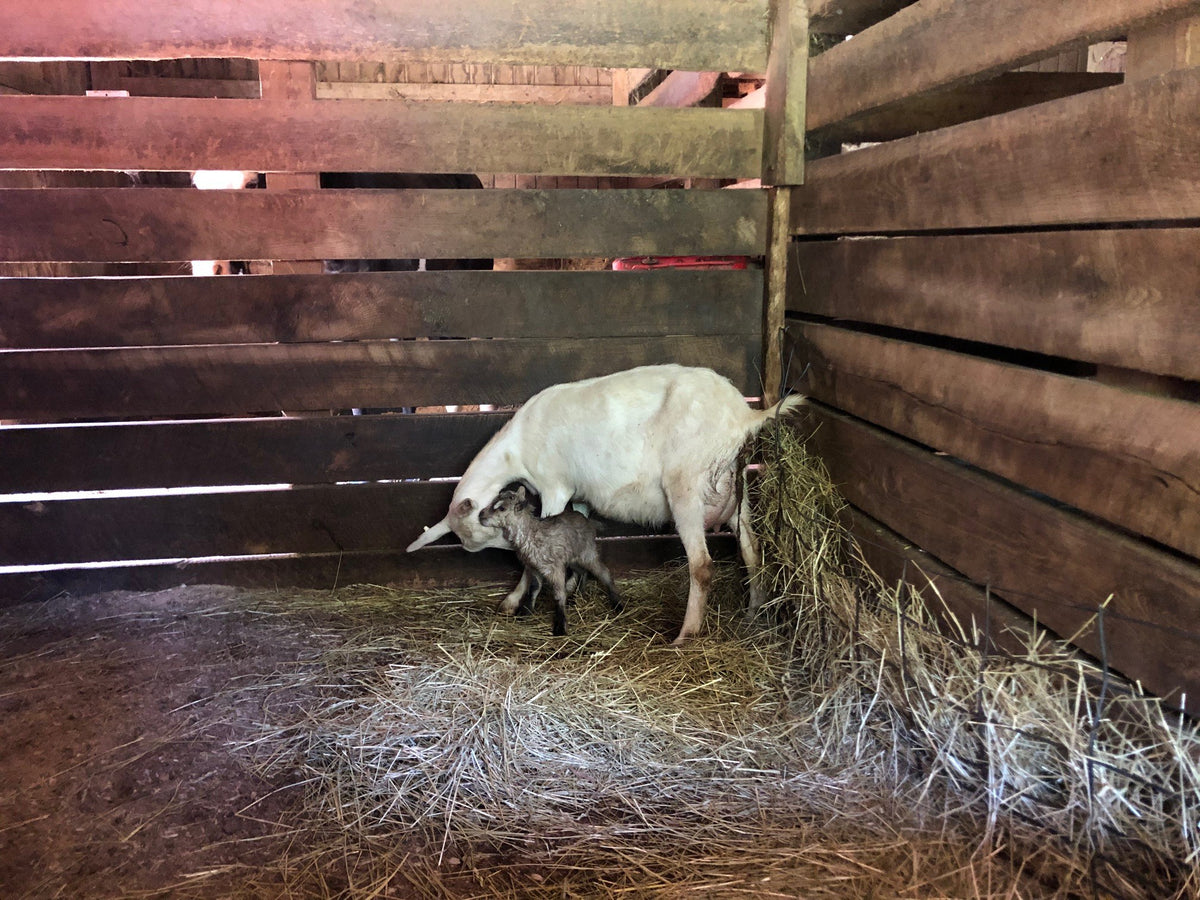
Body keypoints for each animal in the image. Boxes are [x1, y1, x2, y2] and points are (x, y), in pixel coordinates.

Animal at [478, 486, 622, 636]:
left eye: (502, 508)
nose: (481, 515)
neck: (531, 535)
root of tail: (589, 522)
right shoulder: (535, 568)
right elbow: (534, 589)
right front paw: (526, 612)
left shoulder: (555, 568)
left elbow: (559, 594)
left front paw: (560, 627)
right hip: (572, 558)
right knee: (583, 571)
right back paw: (578, 595)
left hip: (587, 553)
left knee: (603, 571)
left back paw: (617, 604)